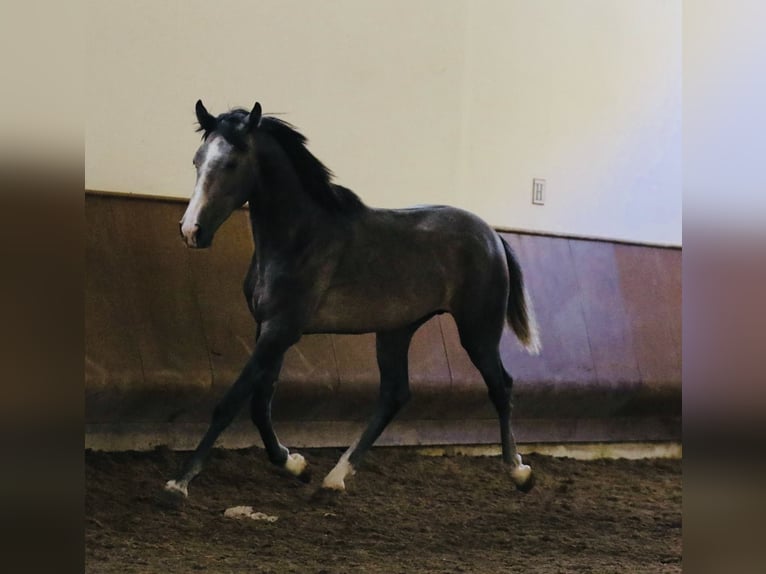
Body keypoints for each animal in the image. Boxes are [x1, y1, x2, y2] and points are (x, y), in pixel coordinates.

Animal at [166, 100, 544, 500]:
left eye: (232, 163)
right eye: (197, 160)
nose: (191, 231)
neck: (299, 238)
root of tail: (493, 236)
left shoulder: (281, 330)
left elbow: (232, 402)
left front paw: (181, 482)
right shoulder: (268, 329)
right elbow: (259, 403)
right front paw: (294, 464)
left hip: (477, 331)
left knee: (501, 386)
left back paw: (519, 472)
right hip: (396, 330)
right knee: (395, 394)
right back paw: (336, 476)